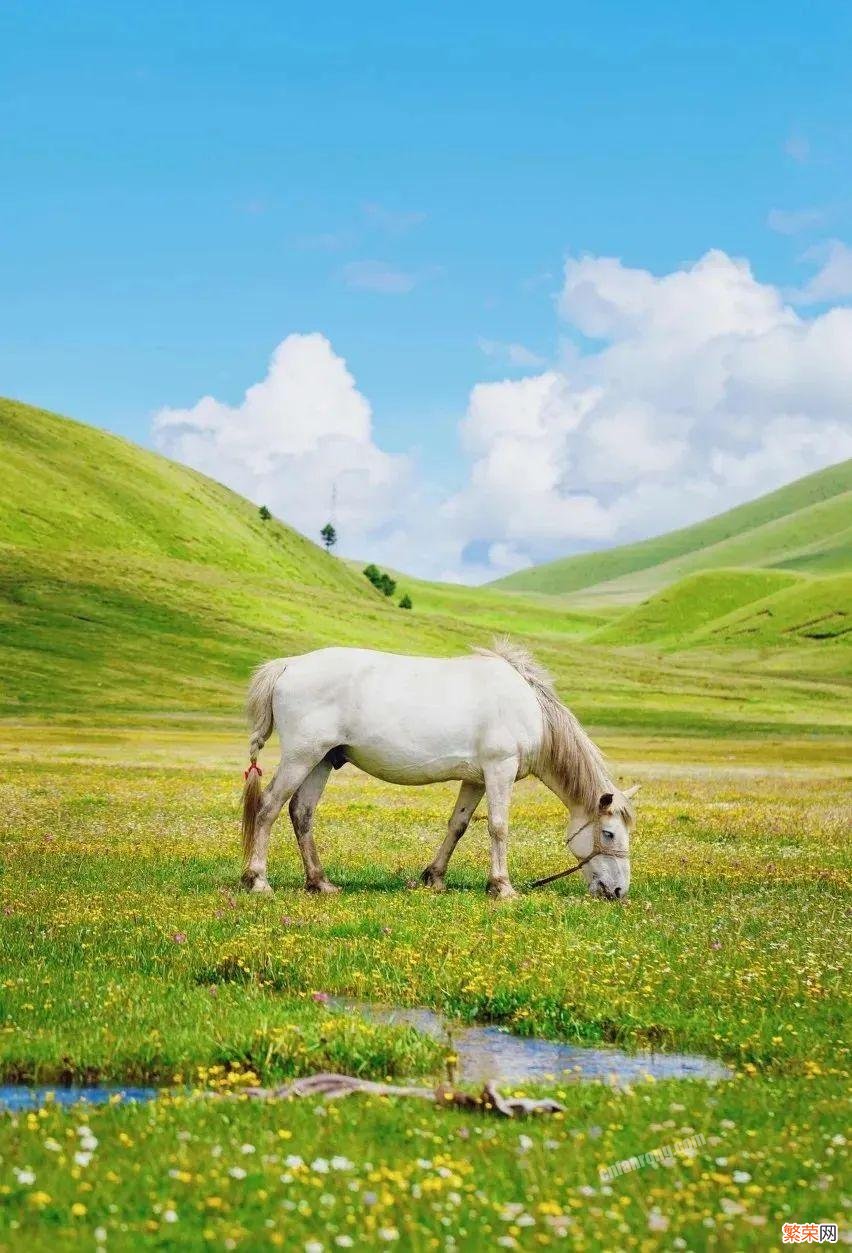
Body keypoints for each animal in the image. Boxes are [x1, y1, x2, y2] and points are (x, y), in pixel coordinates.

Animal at [239, 641, 639, 897]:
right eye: (608, 834)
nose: (618, 890)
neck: (532, 710)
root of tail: (289, 664)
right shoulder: (500, 770)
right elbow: (498, 827)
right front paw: (502, 886)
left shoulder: (476, 780)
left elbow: (458, 825)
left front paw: (435, 878)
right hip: (301, 757)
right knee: (269, 807)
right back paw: (258, 881)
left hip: (321, 760)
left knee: (301, 812)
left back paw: (319, 882)